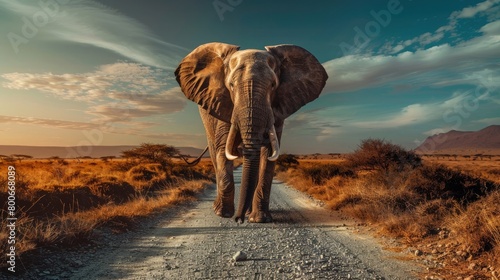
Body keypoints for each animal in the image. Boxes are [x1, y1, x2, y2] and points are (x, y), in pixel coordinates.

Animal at [175, 42, 328, 223]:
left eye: (273, 85)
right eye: (231, 86)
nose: (238, 219)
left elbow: (268, 154)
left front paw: (259, 219)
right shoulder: (222, 104)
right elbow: (223, 151)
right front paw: (224, 214)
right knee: (214, 152)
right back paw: (218, 208)